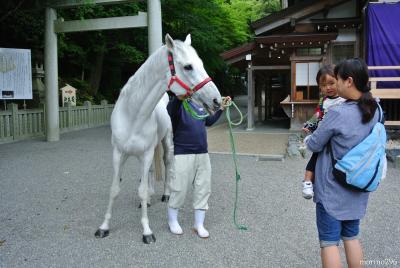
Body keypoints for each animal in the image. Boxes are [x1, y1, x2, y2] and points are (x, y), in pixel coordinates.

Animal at [95, 33, 223, 243]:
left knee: (166, 164)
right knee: (146, 174)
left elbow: (142, 190)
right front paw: (104, 227)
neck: (132, 115)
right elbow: (114, 189)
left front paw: (147, 231)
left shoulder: (147, 153)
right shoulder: (118, 153)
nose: (217, 100)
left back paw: (165, 195)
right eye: (188, 66)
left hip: (165, 144)